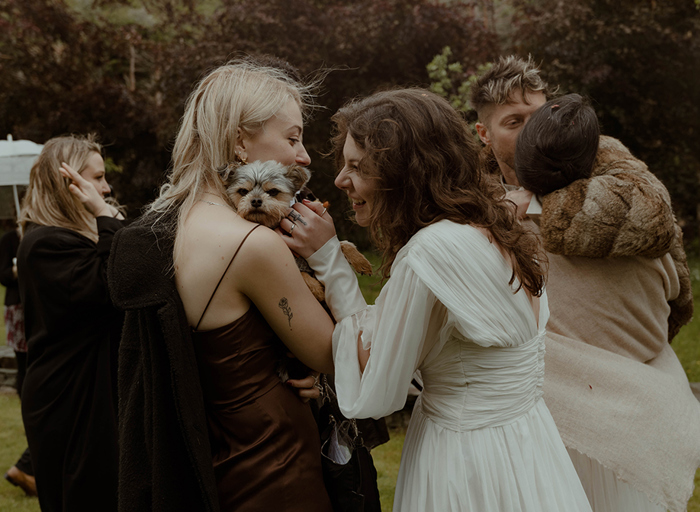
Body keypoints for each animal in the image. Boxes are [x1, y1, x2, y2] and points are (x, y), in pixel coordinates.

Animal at [227, 160, 374, 304]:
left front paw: (361, 262)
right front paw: (317, 289)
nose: (256, 200)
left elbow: (342, 243)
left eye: (273, 192)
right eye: (243, 191)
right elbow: (300, 272)